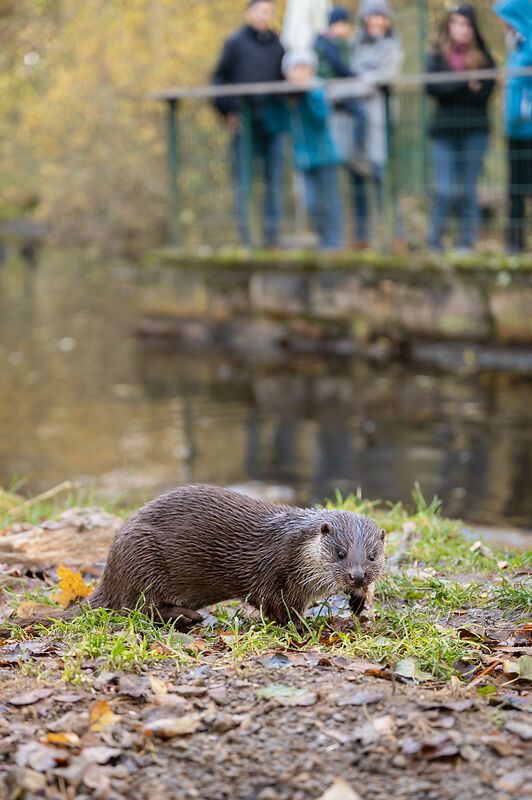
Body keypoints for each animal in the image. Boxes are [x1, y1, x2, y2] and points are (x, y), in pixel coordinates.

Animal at [4, 485, 386, 631]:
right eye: (339, 553)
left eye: (371, 555)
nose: (356, 575)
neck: (296, 548)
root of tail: (110, 573)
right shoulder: (274, 573)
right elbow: (277, 610)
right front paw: (306, 626)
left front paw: (361, 600)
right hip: (143, 559)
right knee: (137, 608)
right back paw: (188, 616)